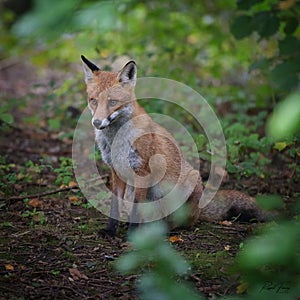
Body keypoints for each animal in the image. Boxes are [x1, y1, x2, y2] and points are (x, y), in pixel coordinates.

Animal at [81, 54, 266, 237]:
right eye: (93, 101)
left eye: (112, 102)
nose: (97, 122)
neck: (116, 140)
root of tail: (199, 209)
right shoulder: (116, 171)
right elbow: (115, 206)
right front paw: (110, 230)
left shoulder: (142, 171)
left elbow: (136, 209)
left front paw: (133, 236)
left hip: (188, 183)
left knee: (179, 222)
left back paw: (161, 229)